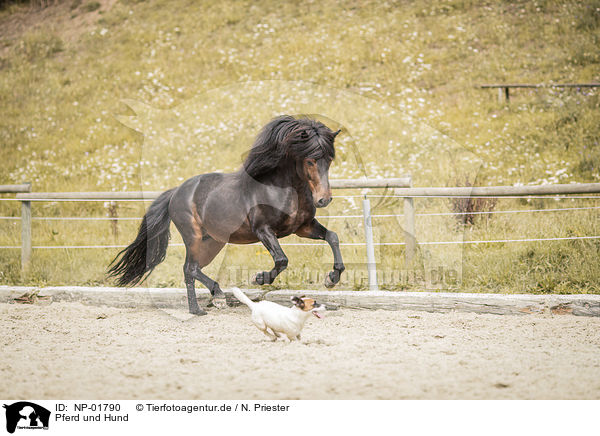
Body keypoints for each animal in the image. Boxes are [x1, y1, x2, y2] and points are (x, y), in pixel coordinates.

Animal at [105, 115, 344, 314]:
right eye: (310, 160)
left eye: (329, 159)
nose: (324, 199)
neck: (282, 188)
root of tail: (176, 192)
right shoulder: (263, 230)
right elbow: (281, 259)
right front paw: (259, 278)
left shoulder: (303, 228)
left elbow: (333, 237)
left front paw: (331, 278)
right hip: (193, 236)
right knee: (189, 268)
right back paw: (204, 305)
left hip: (212, 242)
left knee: (193, 269)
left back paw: (211, 299)